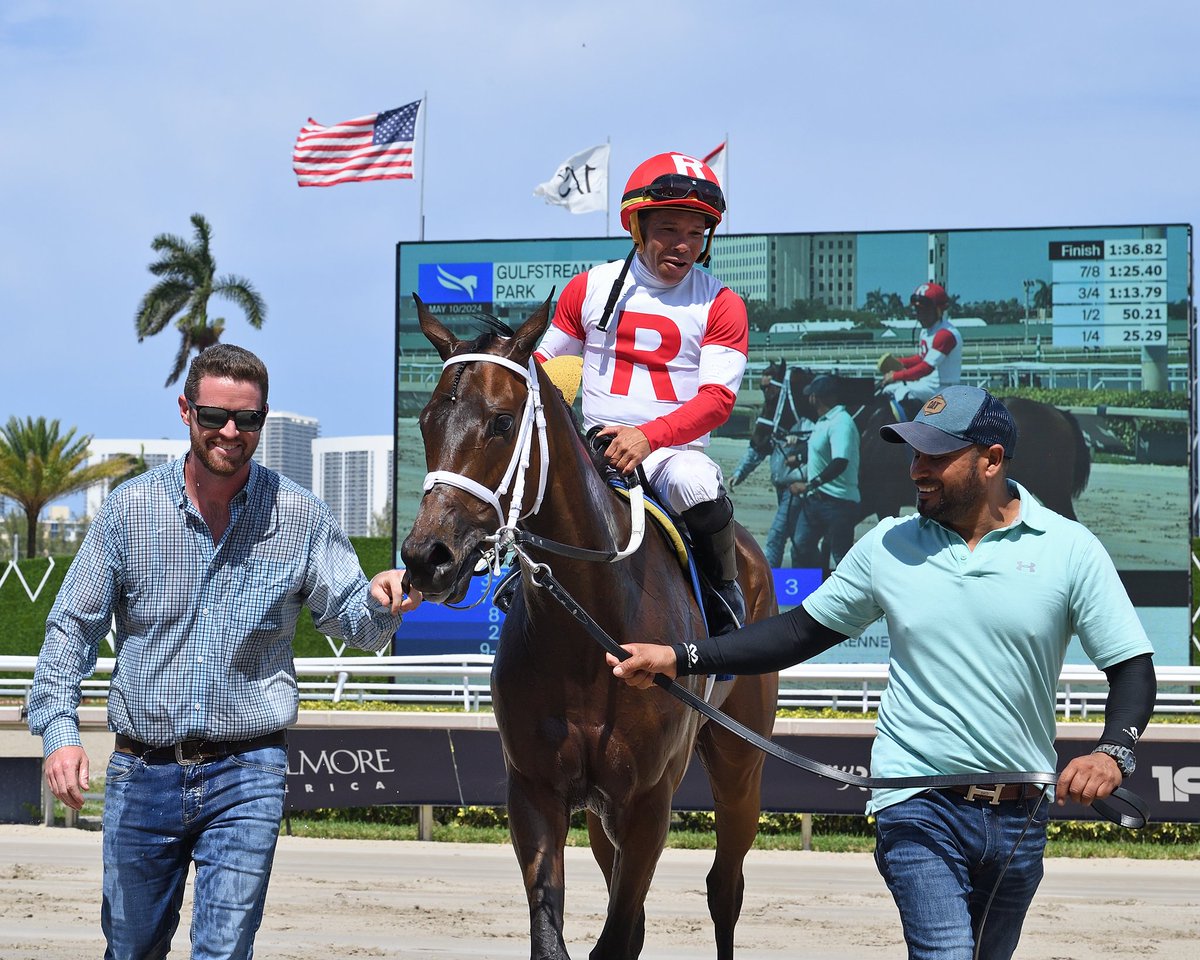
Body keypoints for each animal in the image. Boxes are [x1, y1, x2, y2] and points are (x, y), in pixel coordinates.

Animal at [403, 294, 777, 960]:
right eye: (426, 421)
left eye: (502, 422)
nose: (428, 557)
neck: (589, 629)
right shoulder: (535, 789)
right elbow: (557, 934)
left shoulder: (649, 802)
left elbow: (620, 934)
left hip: (740, 763)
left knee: (724, 886)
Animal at [753, 364, 1094, 520]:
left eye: (770, 396)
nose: (757, 438)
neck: (863, 424)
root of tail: (1060, 413)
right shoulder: (866, 501)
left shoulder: (883, 501)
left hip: (1054, 490)